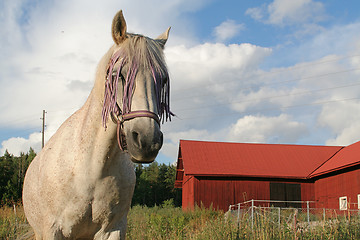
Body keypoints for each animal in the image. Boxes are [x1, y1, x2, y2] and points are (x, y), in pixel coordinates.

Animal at [22, 10, 172, 239]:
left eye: (163, 80)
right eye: (118, 75)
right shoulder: (52, 230)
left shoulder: (113, 228)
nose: (148, 142)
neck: (92, 168)